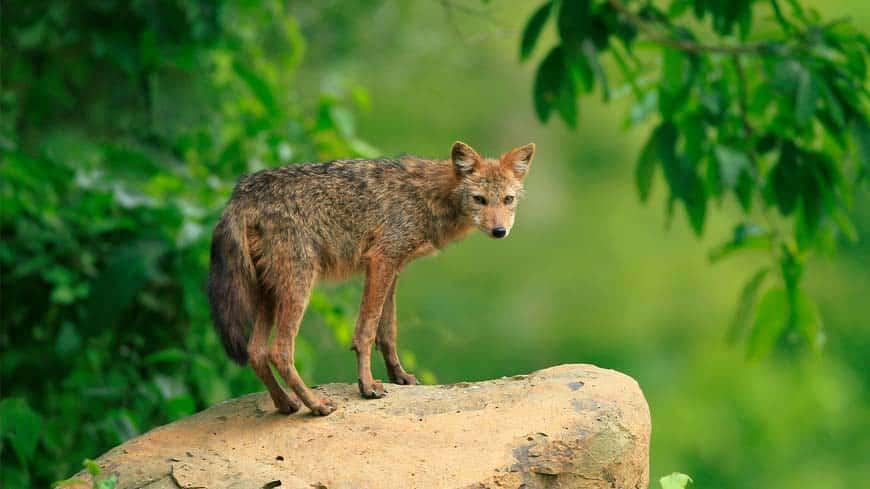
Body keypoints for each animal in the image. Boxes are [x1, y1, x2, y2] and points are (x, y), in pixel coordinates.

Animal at [207, 141, 536, 415]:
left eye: (507, 200)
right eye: (480, 200)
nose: (500, 231)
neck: (427, 196)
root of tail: (241, 192)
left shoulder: (392, 269)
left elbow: (387, 331)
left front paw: (399, 377)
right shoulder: (381, 262)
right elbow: (365, 332)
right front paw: (367, 387)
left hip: (269, 292)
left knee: (256, 351)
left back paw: (286, 404)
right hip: (298, 287)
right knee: (279, 351)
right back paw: (316, 405)